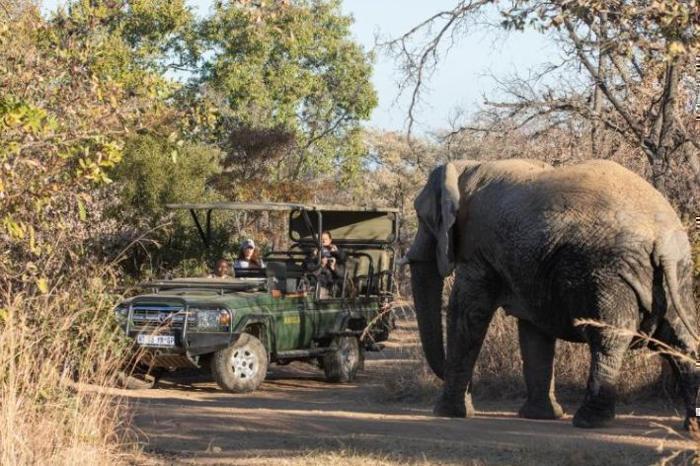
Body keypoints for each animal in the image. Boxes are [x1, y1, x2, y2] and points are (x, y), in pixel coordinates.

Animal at [408, 158, 696, 428]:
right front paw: (541, 416)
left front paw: (447, 413)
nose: (474, 389)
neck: (466, 168)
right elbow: (534, 329)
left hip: (610, 272)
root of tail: (663, 239)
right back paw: (691, 425)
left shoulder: (480, 250)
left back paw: (588, 421)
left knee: (609, 339)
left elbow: (467, 313)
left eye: (423, 219)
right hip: (676, 274)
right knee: (680, 339)